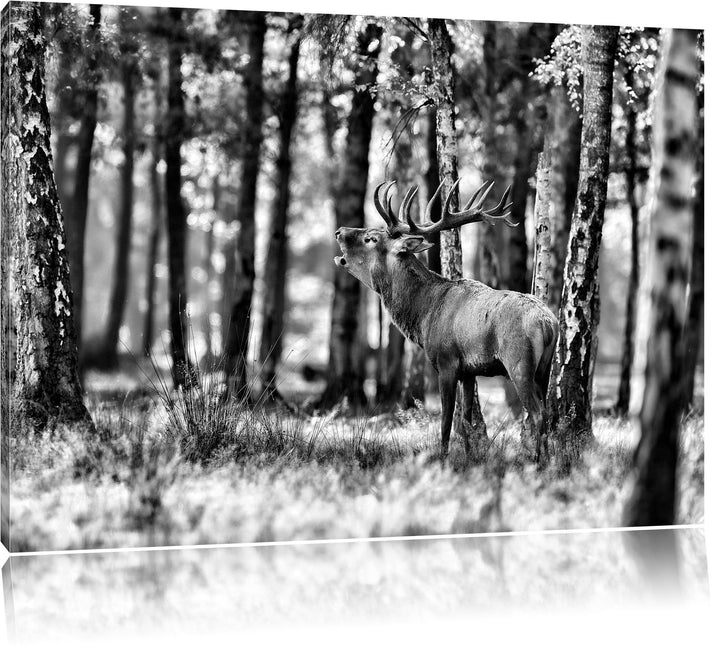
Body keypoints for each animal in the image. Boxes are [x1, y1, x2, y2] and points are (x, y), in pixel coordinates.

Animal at [334, 178, 559, 461]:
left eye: (370, 238)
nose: (339, 231)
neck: (423, 315)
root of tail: (548, 323)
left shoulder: (446, 361)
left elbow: (446, 421)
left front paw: (443, 459)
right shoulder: (470, 371)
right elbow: (465, 421)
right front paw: (471, 458)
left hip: (519, 362)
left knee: (537, 413)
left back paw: (537, 462)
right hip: (545, 368)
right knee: (548, 412)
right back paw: (551, 461)